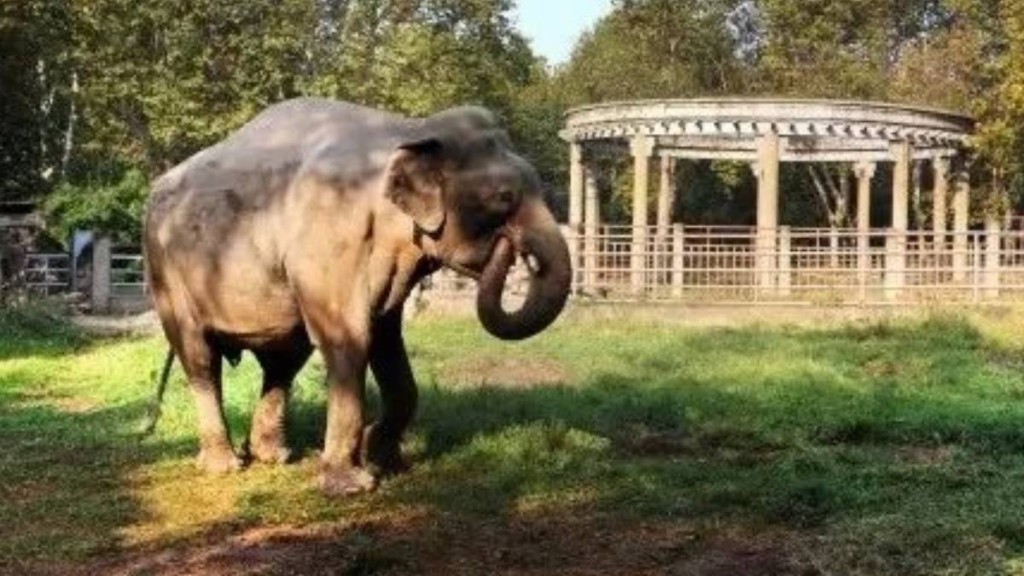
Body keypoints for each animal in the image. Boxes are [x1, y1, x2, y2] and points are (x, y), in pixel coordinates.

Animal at [142, 98, 572, 496]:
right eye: (503, 198)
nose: (513, 249)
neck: (409, 130)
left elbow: (387, 341)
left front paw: (386, 460)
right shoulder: (330, 238)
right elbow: (350, 340)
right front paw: (351, 484)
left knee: (283, 363)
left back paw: (274, 456)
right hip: (165, 271)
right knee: (200, 358)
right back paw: (224, 466)